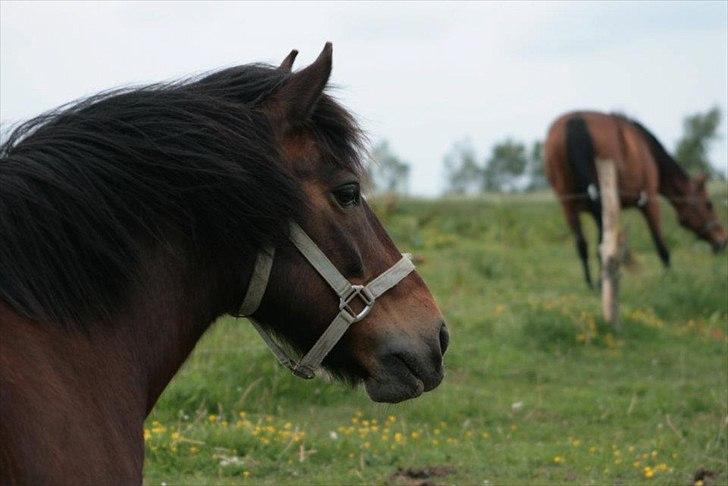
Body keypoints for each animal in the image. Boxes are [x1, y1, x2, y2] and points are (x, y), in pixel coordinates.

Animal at [544, 110, 724, 286]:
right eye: (709, 205)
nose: (723, 239)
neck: (649, 151)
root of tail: (575, 121)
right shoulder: (649, 201)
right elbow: (660, 243)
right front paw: (670, 278)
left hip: (569, 205)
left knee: (583, 244)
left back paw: (592, 284)